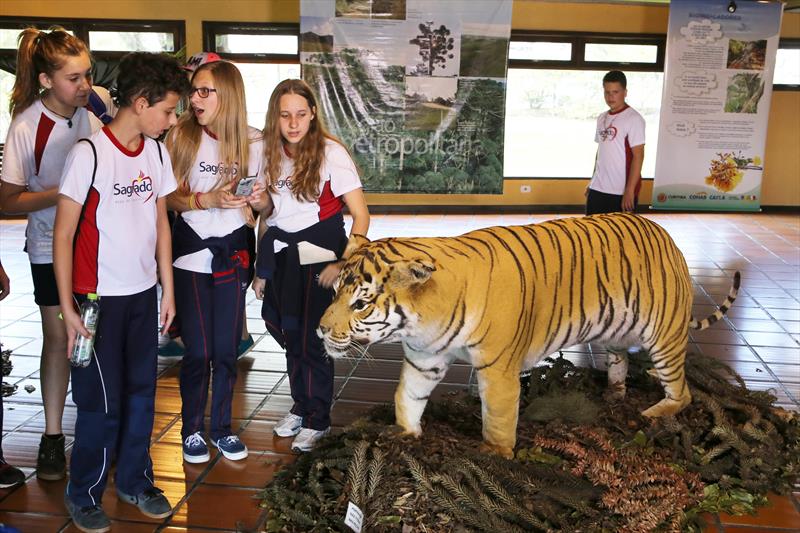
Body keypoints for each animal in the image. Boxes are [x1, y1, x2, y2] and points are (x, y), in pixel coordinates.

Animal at [316, 212, 740, 458]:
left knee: (682, 392)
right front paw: (404, 433)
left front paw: (495, 455)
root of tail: (665, 233)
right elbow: (407, 396)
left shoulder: (498, 370)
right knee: (620, 362)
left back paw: (653, 412)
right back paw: (612, 396)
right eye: (335, 291)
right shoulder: (424, 359)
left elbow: (499, 418)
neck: (424, 323)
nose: (320, 330)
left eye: (360, 304)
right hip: (613, 332)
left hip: (663, 337)